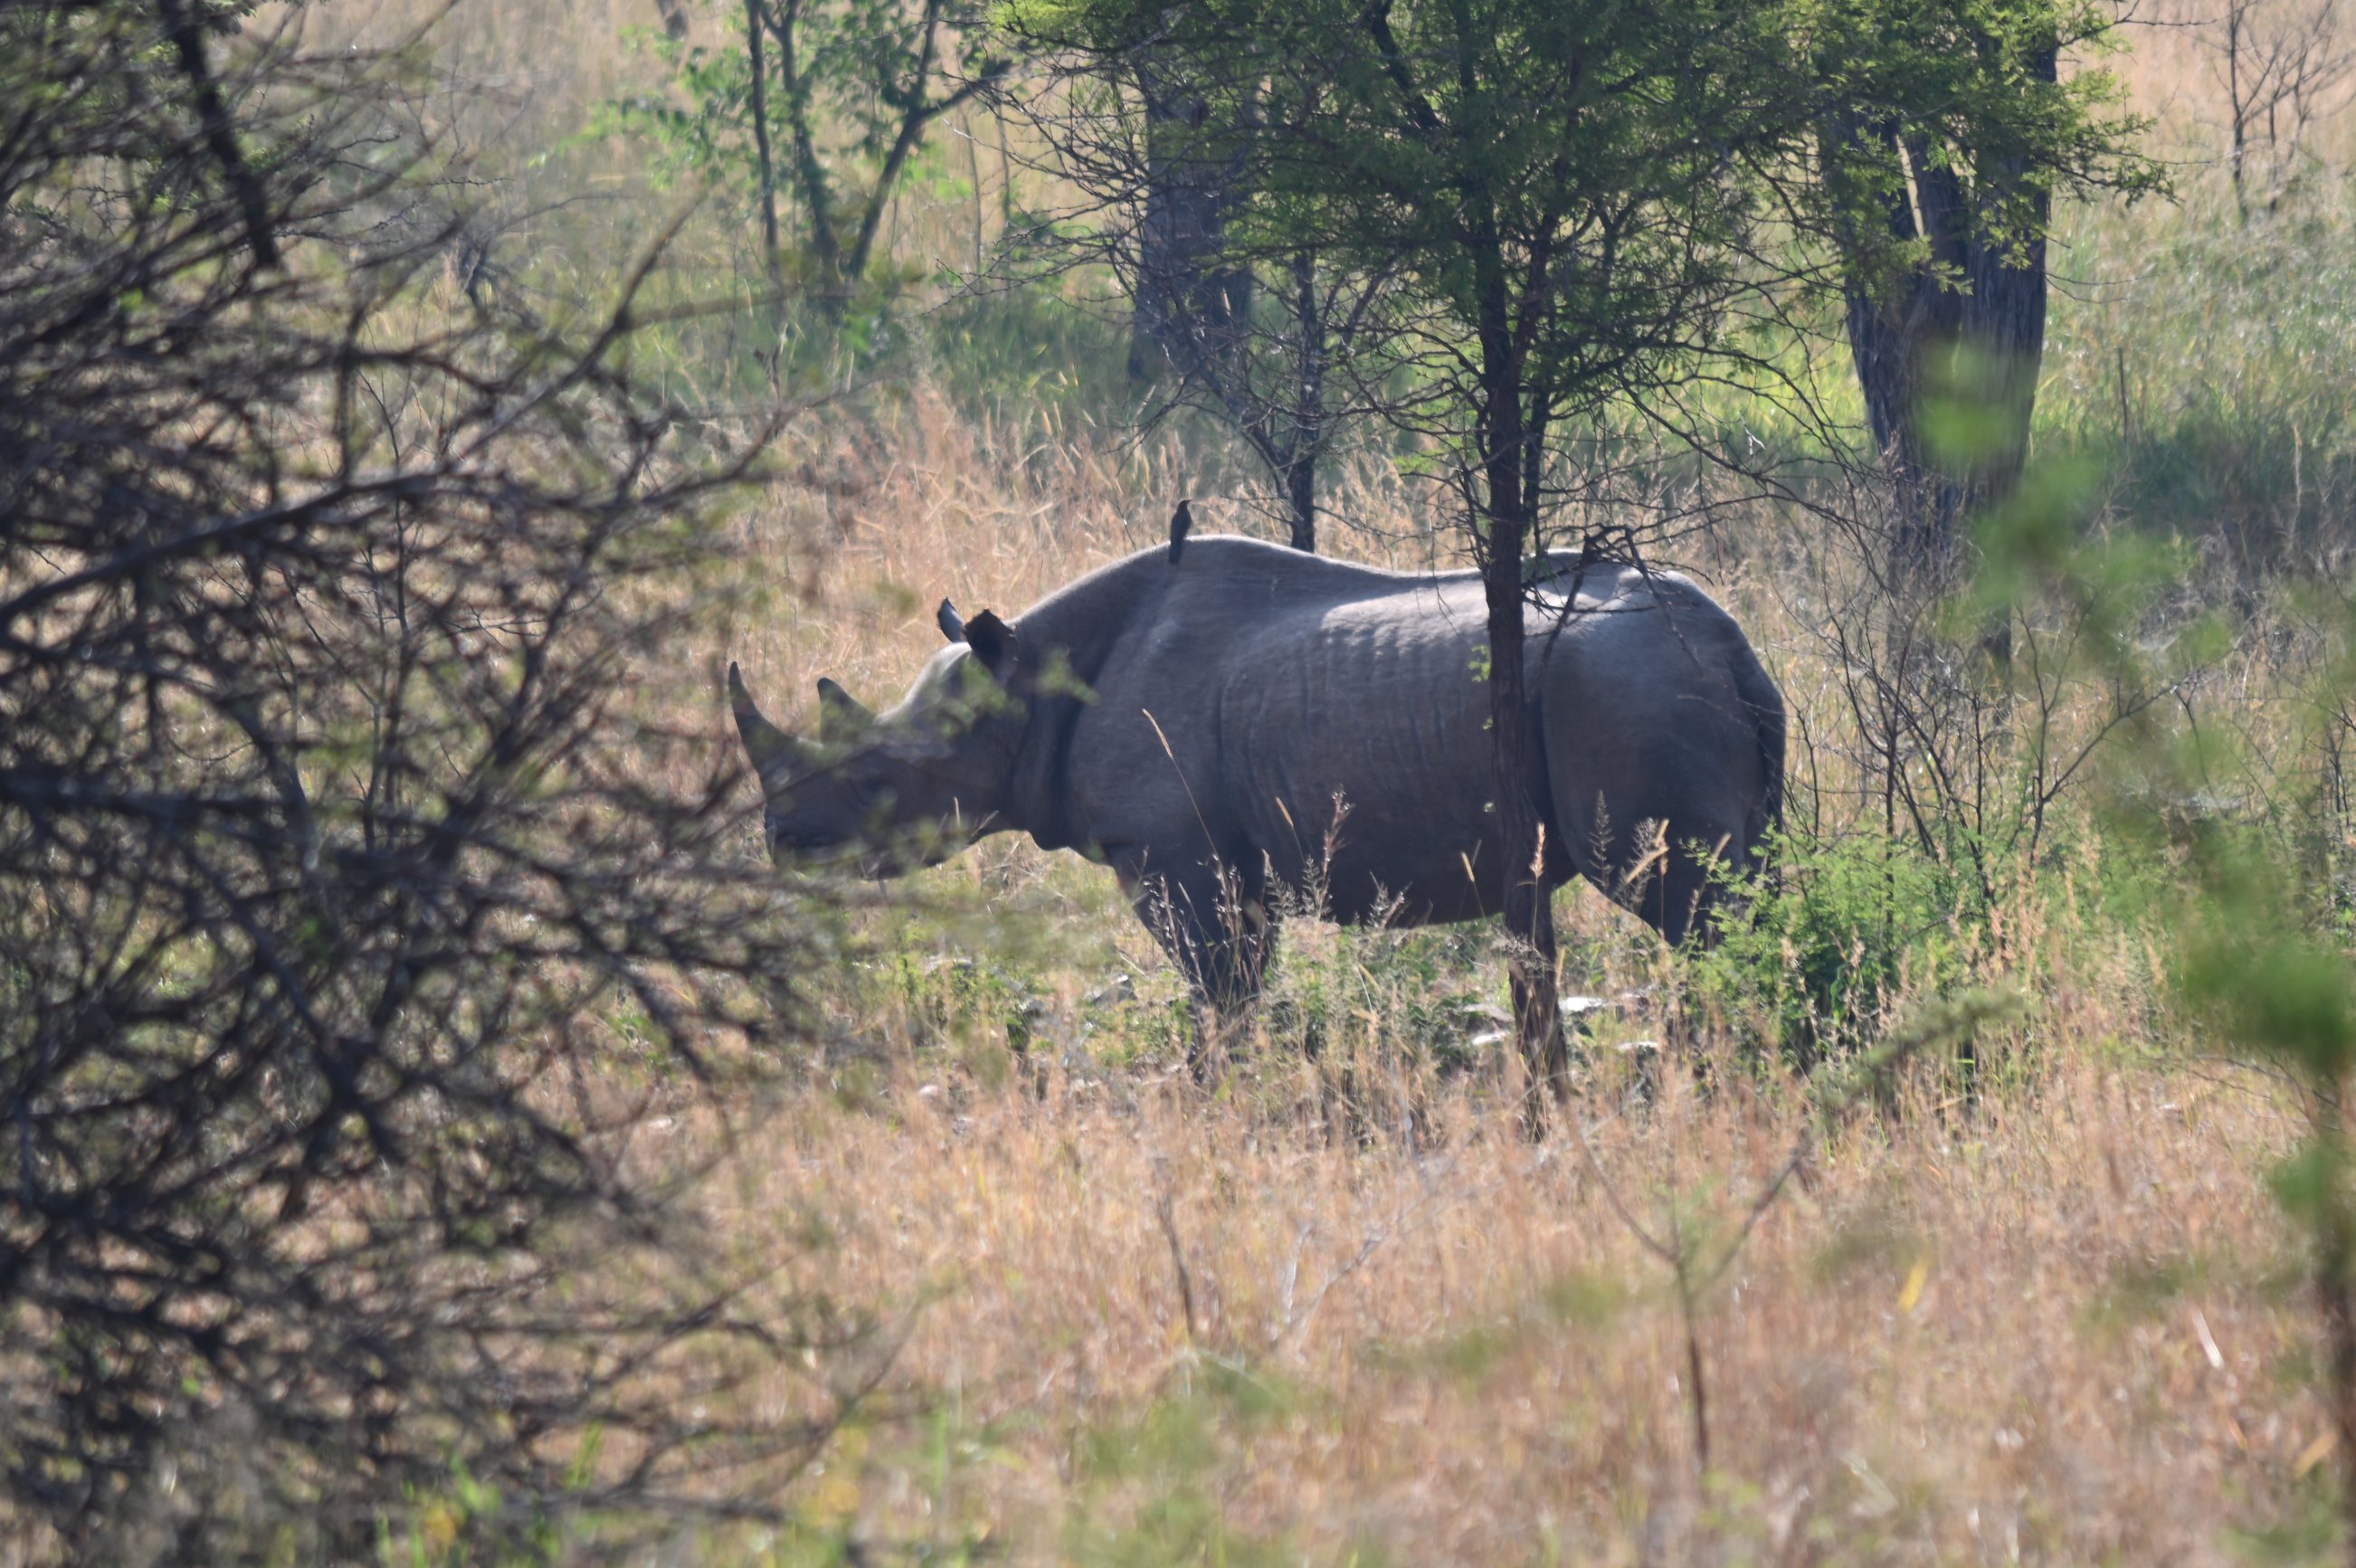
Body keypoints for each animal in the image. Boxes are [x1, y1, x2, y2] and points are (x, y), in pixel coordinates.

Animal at [730, 533, 1783, 1019]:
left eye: (880, 783)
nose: (782, 846)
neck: (1027, 675)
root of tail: (1729, 643)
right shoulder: (1226, 859)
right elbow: (1238, 985)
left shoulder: (1172, 852)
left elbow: (1218, 994)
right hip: (1675, 682)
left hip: (1624, 689)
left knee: (1691, 906)